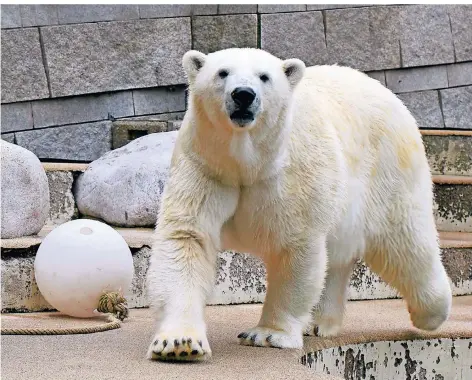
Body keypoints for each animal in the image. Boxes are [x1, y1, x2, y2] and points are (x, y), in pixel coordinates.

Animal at [146, 49, 452, 360]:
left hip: (387, 173)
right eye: (222, 72)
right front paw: (179, 343)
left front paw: (267, 335)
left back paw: (431, 313)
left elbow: (294, 247)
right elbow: (188, 239)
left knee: (405, 245)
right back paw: (319, 322)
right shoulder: (205, 167)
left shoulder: (292, 176)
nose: (243, 94)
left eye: (264, 76)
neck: (246, 164)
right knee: (339, 257)